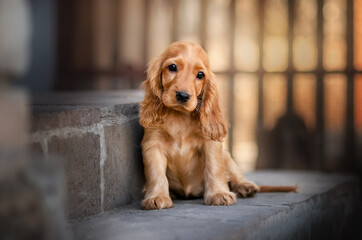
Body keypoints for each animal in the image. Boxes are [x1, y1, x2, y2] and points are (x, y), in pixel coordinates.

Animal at [140, 41, 296, 210]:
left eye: (200, 75)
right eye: (172, 67)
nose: (183, 96)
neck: (179, 117)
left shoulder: (211, 143)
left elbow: (214, 168)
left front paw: (218, 194)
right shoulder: (153, 144)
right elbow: (155, 172)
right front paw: (157, 197)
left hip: (227, 156)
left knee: (234, 174)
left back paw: (246, 186)